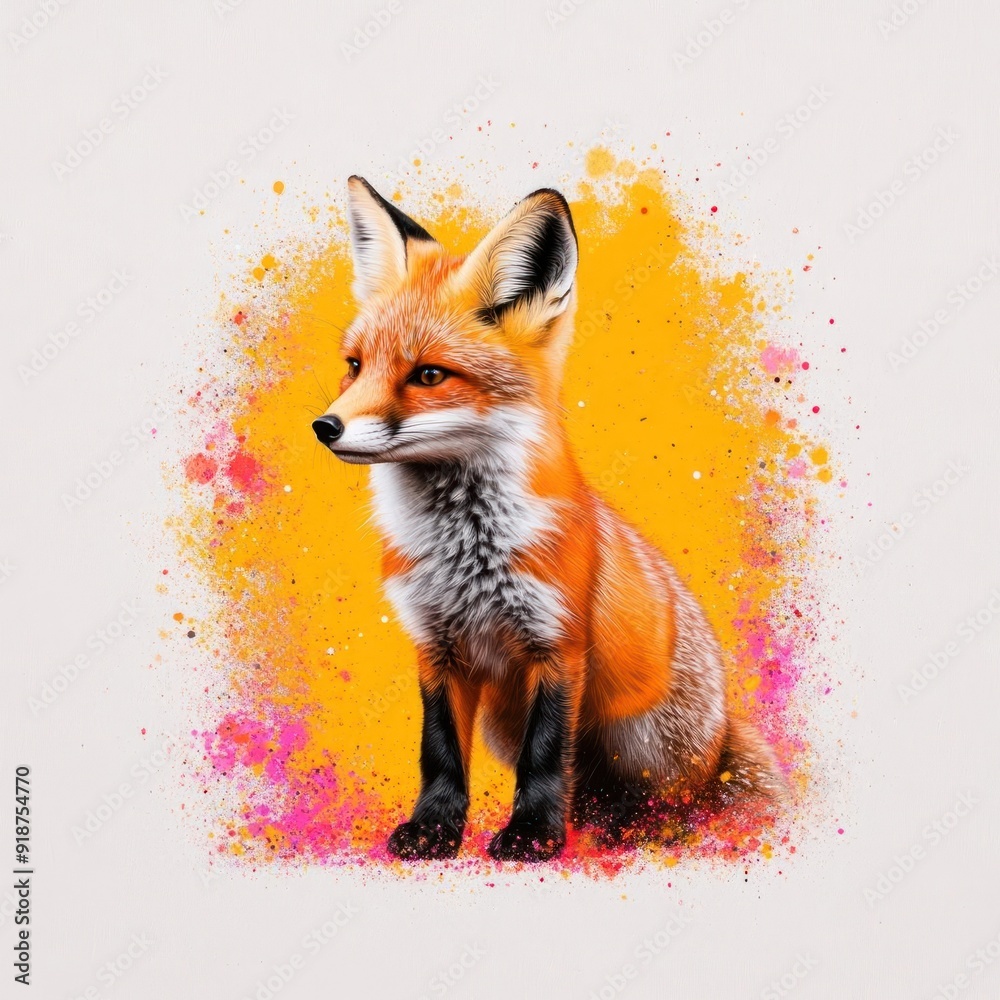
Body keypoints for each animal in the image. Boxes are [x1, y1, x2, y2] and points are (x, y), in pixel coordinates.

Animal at [311, 175, 784, 862]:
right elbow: (438, 750)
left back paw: (627, 826)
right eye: (354, 365)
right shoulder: (435, 644)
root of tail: (722, 732)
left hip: (643, 738)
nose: (325, 426)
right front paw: (434, 829)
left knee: (664, 802)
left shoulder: (558, 641)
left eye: (428, 375)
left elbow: (546, 754)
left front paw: (533, 835)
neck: (467, 552)